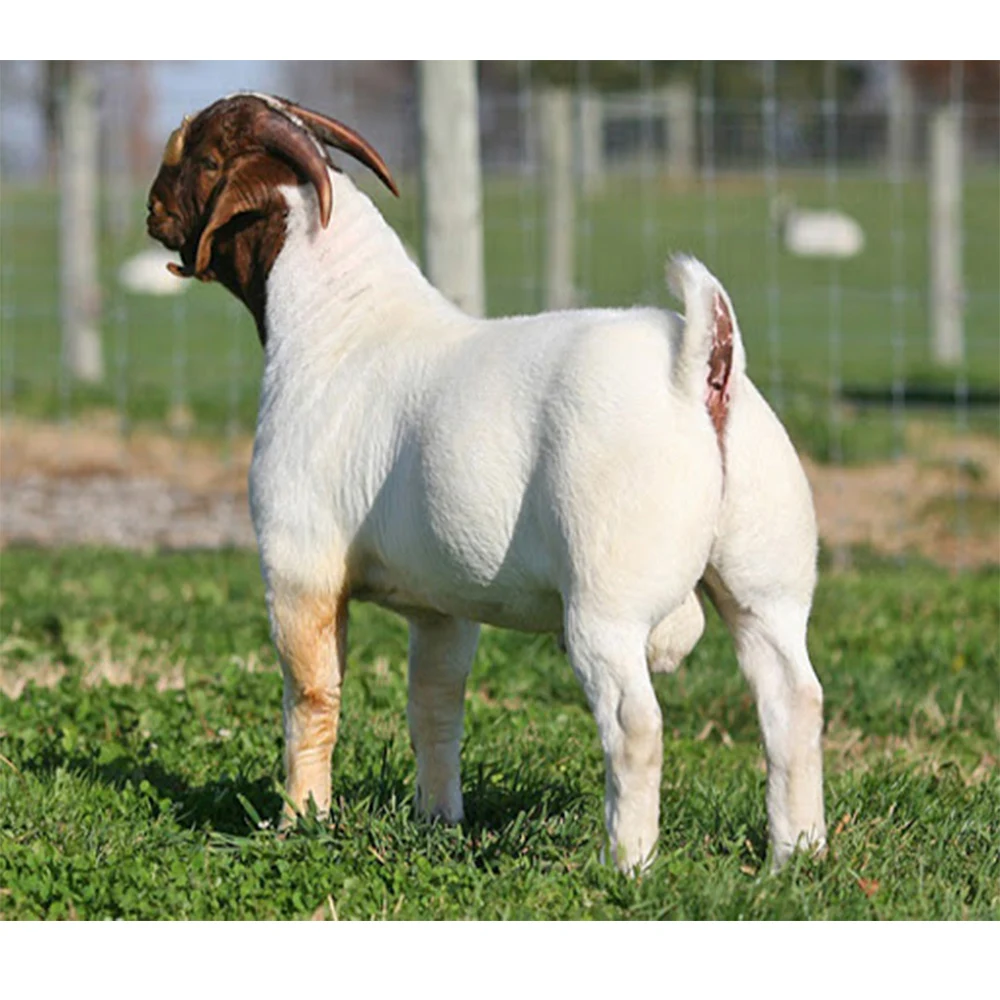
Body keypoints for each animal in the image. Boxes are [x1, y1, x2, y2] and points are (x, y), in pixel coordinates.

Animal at [147, 92, 826, 872]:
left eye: (201, 158)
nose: (151, 211)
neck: (342, 324)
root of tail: (700, 367)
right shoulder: (442, 608)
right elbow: (435, 707)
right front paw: (437, 821)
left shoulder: (300, 570)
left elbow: (312, 701)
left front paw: (300, 822)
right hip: (766, 589)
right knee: (793, 702)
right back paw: (796, 857)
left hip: (607, 610)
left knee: (635, 722)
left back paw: (626, 865)